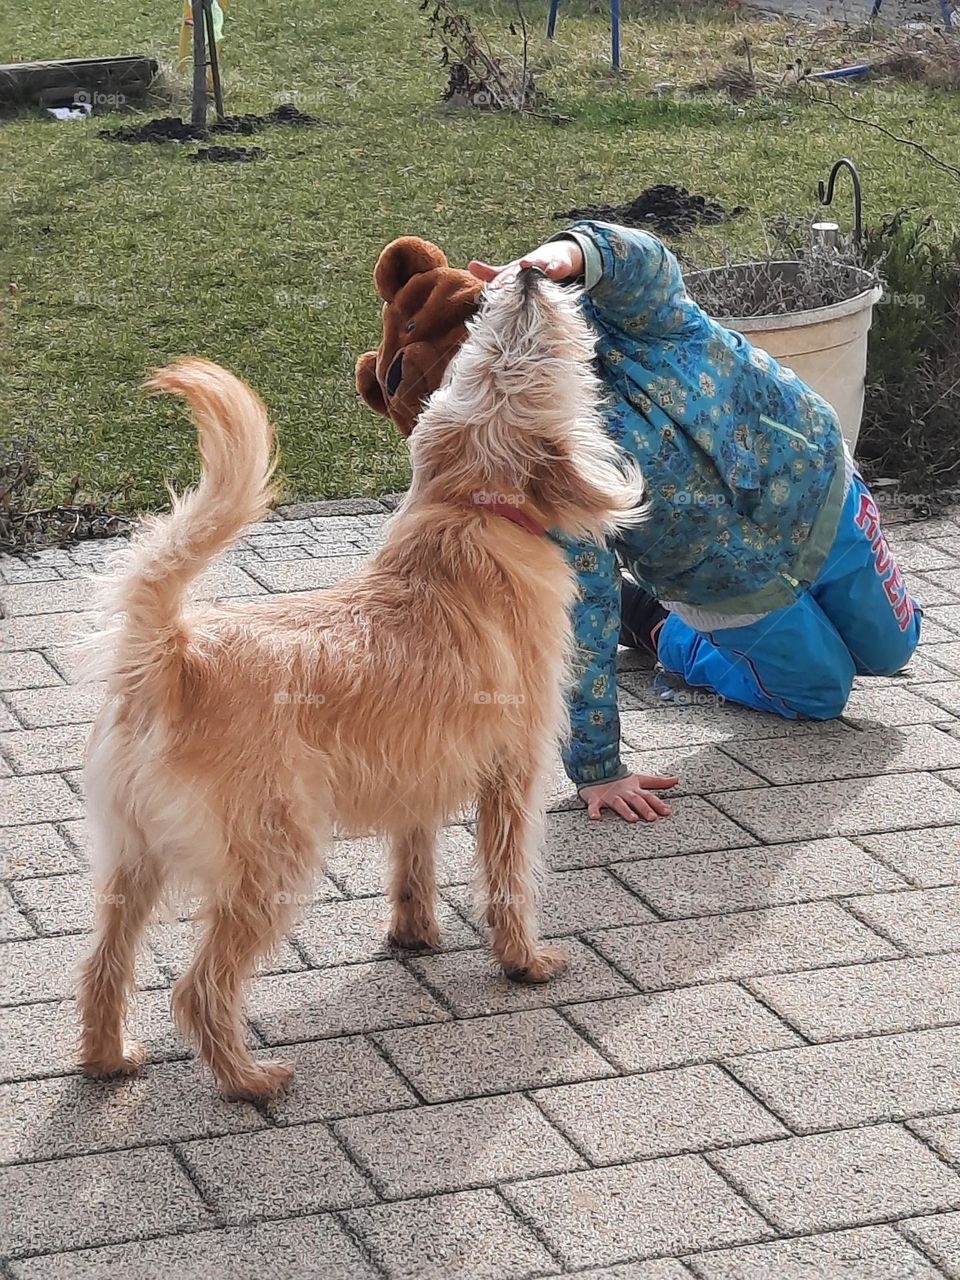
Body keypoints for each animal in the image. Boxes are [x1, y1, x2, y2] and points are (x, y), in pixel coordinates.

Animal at [77, 270, 647, 1100]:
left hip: (133, 860)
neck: (471, 510)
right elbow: (509, 877)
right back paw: (248, 1079)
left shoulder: (419, 772)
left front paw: (415, 935)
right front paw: (523, 962)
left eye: (484, 345)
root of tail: (176, 655)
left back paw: (107, 1058)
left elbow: (413, 862)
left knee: (103, 963)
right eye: (515, 353)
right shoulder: (513, 774)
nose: (531, 275)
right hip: (273, 858)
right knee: (199, 986)